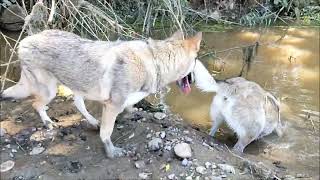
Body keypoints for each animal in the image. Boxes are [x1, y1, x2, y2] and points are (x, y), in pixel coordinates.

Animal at [0, 29, 201, 158]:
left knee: (77, 104)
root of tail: (24, 41)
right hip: (49, 91)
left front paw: (130, 114)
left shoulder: (118, 102)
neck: (154, 61)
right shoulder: (112, 105)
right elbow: (107, 132)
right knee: (36, 104)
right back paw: (49, 123)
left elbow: (128, 108)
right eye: (196, 61)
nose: (194, 80)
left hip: (76, 87)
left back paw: (92, 121)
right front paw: (111, 152)